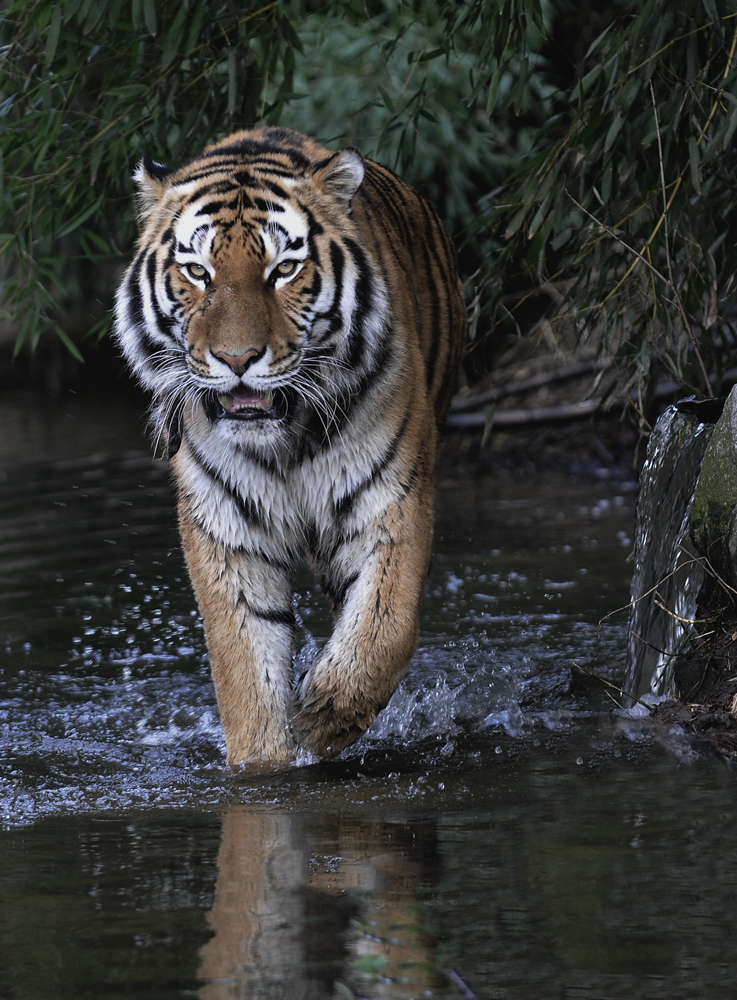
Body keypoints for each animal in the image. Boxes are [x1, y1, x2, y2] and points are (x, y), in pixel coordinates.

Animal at [113, 125, 462, 764]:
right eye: (197, 271)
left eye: (284, 269)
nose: (237, 359)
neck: (284, 444)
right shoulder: (226, 527)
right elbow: (245, 669)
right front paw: (268, 759)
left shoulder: (391, 499)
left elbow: (385, 626)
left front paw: (323, 716)